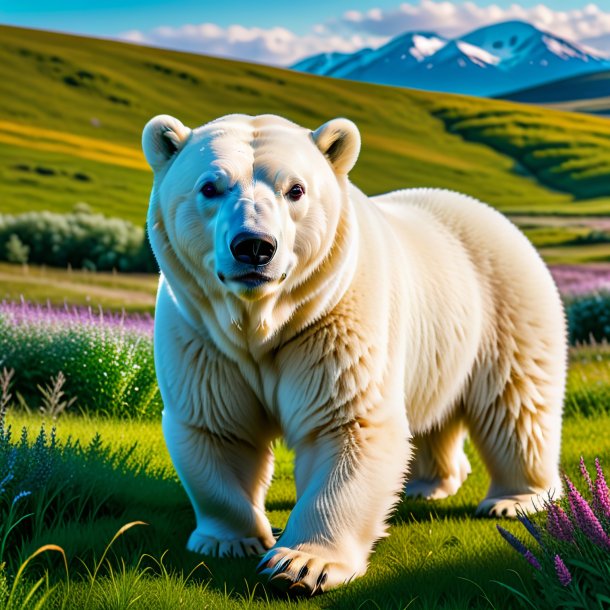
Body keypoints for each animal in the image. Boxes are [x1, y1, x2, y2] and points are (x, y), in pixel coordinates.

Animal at [141, 111, 564, 592]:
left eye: (296, 189)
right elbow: (218, 427)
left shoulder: (333, 321)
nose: (254, 246)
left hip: (506, 302)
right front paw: (228, 541)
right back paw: (428, 484)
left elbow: (347, 424)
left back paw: (516, 499)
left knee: (517, 405)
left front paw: (301, 565)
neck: (263, 322)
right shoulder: (202, 335)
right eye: (210, 187)